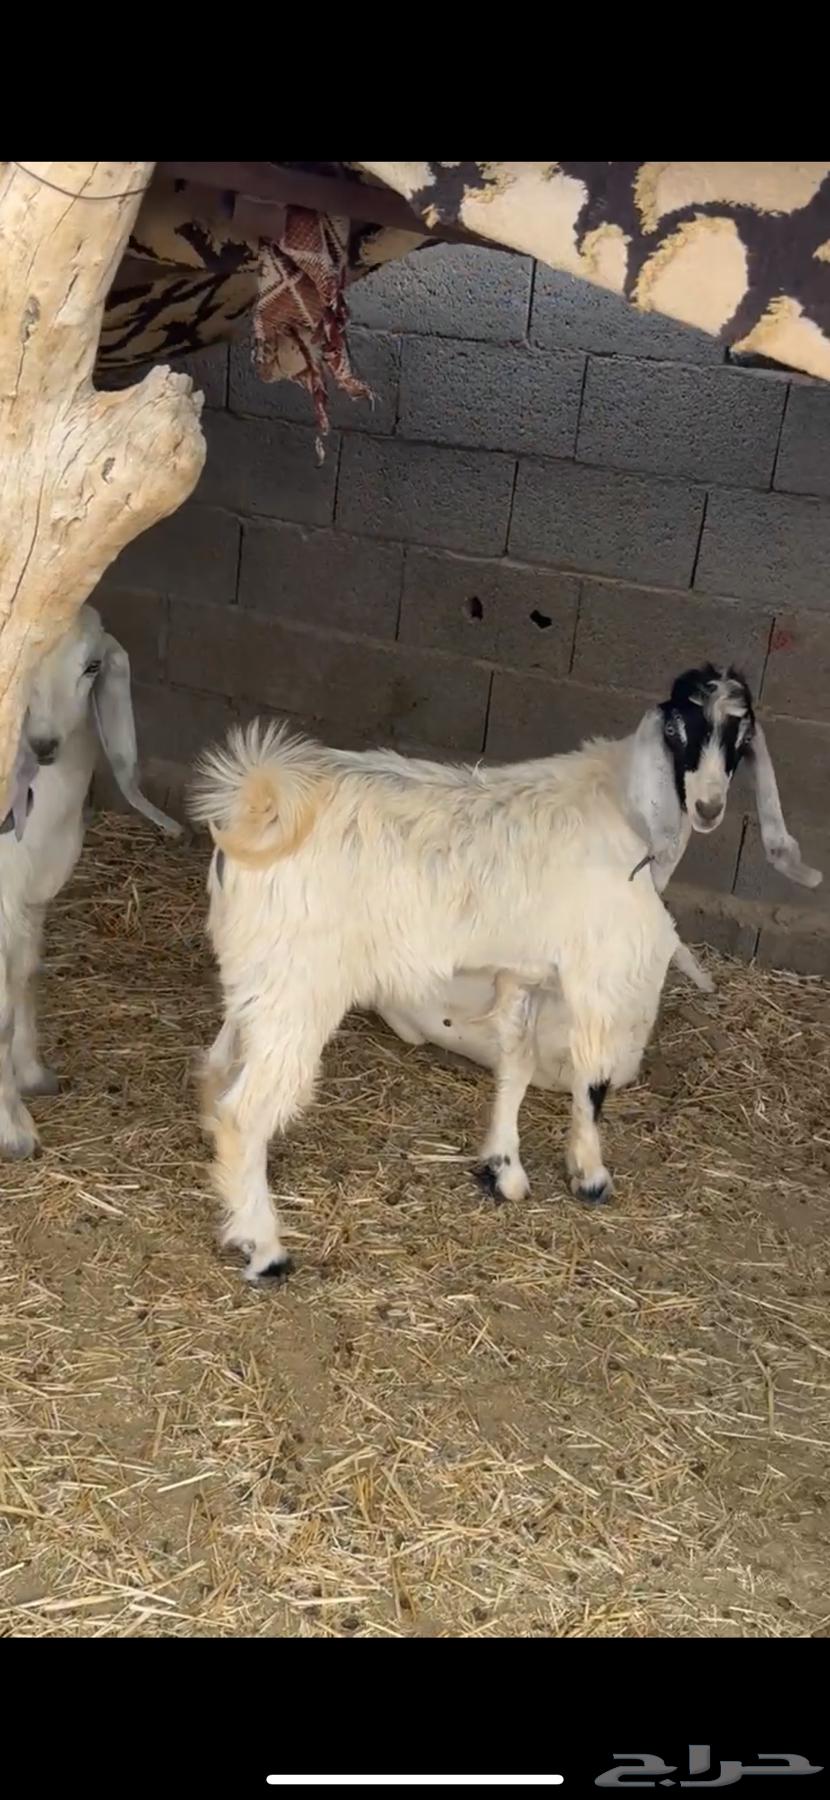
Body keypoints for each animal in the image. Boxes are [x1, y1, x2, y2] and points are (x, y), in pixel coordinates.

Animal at [0, 604, 181, 1158]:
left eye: (93, 666)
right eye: (28, 660)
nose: (44, 745)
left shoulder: (33, 897)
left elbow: (25, 979)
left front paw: (32, 1074)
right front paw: (13, 1130)